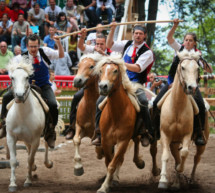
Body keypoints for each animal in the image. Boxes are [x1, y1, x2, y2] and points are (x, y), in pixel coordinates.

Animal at [5, 57, 53, 191]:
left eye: (27, 77)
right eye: (12, 77)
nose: (20, 95)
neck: (22, 115)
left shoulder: (36, 139)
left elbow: (30, 159)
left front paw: (28, 180)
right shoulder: (11, 137)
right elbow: (13, 160)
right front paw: (12, 184)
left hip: (43, 135)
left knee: (46, 145)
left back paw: (47, 163)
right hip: (26, 139)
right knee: (29, 150)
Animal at [94, 55, 160, 193]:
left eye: (115, 70)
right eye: (101, 71)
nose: (103, 86)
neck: (116, 114)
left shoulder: (123, 141)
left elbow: (112, 164)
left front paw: (104, 187)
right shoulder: (106, 141)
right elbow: (109, 162)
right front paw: (108, 183)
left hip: (154, 132)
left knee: (153, 150)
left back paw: (155, 170)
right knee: (136, 142)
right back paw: (138, 162)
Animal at [157, 49, 209, 190]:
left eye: (197, 68)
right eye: (183, 67)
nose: (192, 88)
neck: (177, 107)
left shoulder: (187, 135)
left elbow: (184, 153)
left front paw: (180, 169)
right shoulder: (165, 135)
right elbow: (165, 156)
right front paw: (163, 181)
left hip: (202, 142)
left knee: (197, 158)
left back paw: (190, 179)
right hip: (174, 142)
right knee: (176, 156)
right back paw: (176, 183)